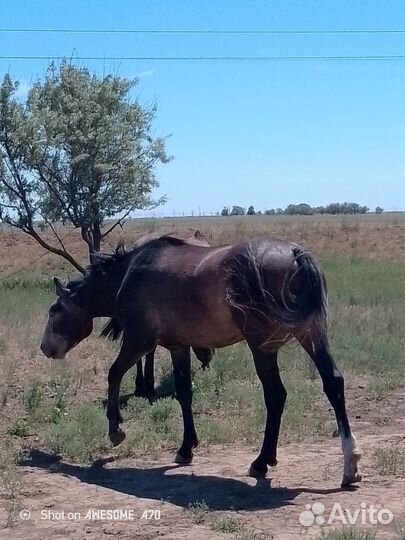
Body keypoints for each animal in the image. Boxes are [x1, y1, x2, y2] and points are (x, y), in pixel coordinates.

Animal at [40, 235, 360, 486]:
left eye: (55, 309)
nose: (45, 348)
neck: (130, 273)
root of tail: (294, 254)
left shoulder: (139, 342)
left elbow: (114, 374)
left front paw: (115, 429)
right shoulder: (178, 347)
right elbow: (184, 393)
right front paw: (186, 448)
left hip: (263, 347)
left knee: (276, 396)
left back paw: (261, 461)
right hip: (311, 334)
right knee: (333, 383)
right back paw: (349, 465)